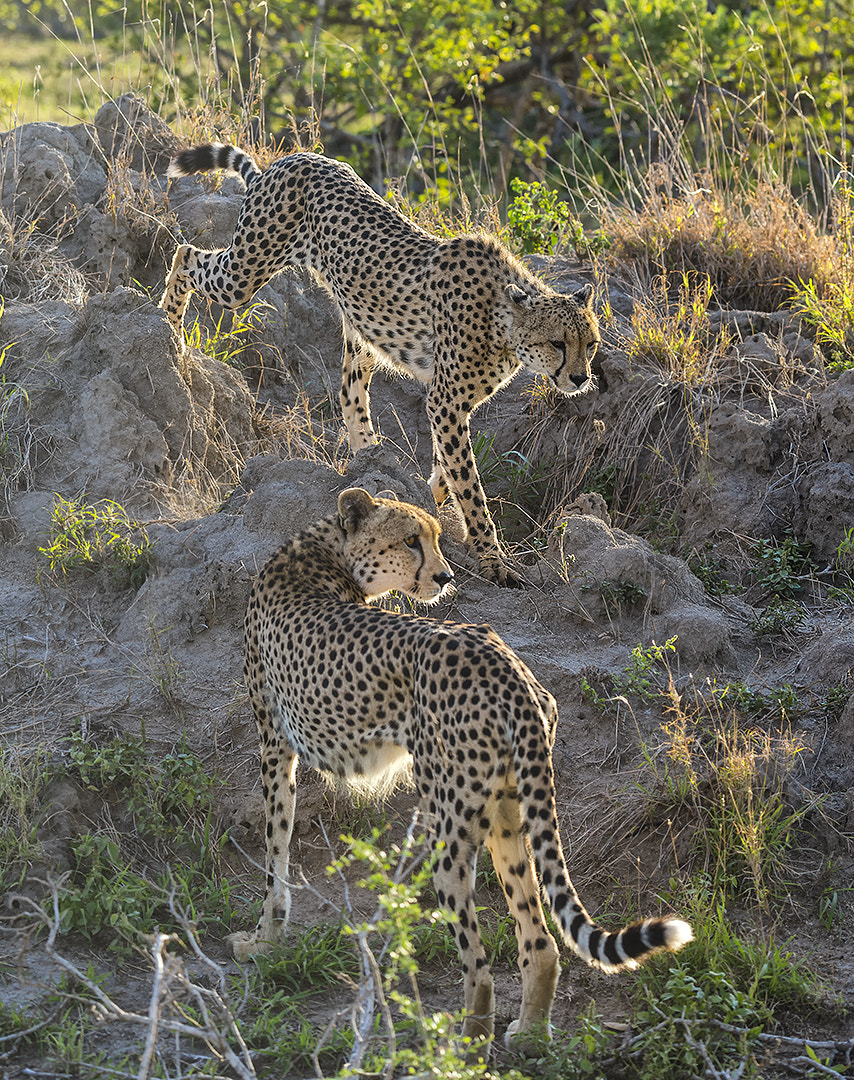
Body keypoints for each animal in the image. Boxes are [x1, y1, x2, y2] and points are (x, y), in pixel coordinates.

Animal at [159, 144, 602, 587]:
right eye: (558, 343)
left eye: (591, 345)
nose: (580, 378)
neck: (503, 320)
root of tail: (296, 158)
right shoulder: (446, 401)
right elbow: (468, 484)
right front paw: (493, 560)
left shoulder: (449, 405)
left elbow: (446, 468)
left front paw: (425, 500)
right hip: (244, 272)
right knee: (186, 254)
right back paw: (167, 327)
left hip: (361, 333)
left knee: (349, 395)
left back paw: (369, 464)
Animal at [231, 486, 693, 1048]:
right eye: (412, 540)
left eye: (432, 537)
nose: (446, 577)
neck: (325, 553)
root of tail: (506, 666)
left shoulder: (275, 746)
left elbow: (274, 850)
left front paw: (265, 938)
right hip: (509, 810)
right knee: (539, 938)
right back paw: (529, 1034)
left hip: (448, 823)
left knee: (478, 959)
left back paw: (463, 1043)